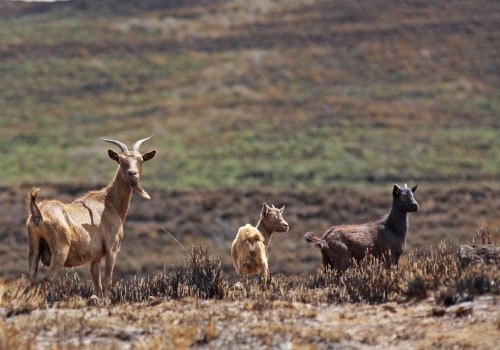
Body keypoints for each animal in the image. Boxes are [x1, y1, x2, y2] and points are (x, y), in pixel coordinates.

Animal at [26, 136, 156, 296]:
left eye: (140, 159)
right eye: (120, 160)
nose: (133, 174)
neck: (109, 203)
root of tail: (38, 213)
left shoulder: (96, 257)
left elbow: (97, 285)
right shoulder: (112, 250)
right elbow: (108, 281)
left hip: (34, 250)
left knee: (32, 281)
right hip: (60, 251)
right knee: (47, 279)